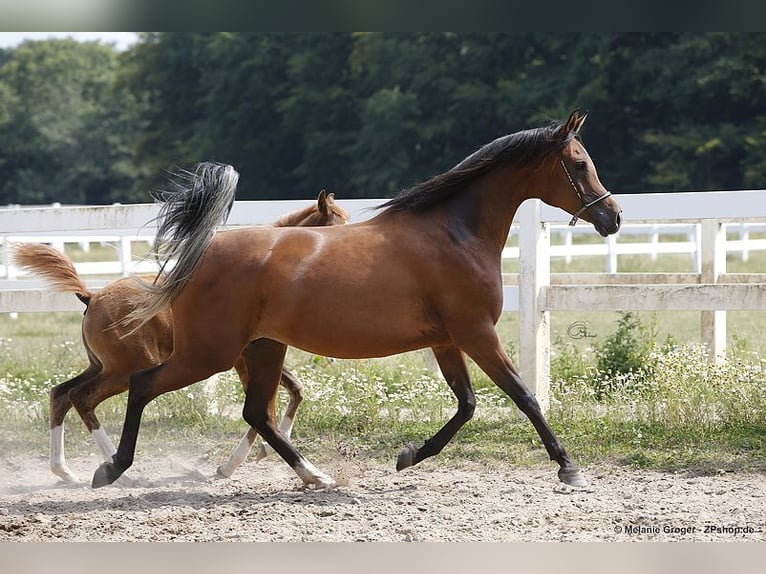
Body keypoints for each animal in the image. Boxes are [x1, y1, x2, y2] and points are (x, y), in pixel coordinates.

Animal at [12, 190, 349, 483]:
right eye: (335, 227)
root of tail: (91, 296)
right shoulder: (244, 360)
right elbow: (265, 407)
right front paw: (237, 463)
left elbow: (294, 391)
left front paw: (251, 457)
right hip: (126, 369)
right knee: (82, 397)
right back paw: (122, 472)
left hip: (102, 366)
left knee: (61, 394)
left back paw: (65, 472)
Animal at [93, 110, 622, 489]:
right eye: (579, 164)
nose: (613, 217)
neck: (454, 233)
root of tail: (200, 253)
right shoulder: (477, 333)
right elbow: (524, 396)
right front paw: (569, 468)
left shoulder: (448, 340)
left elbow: (467, 405)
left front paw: (409, 457)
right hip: (210, 354)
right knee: (142, 385)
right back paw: (112, 468)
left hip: (262, 348)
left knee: (257, 414)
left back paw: (315, 475)